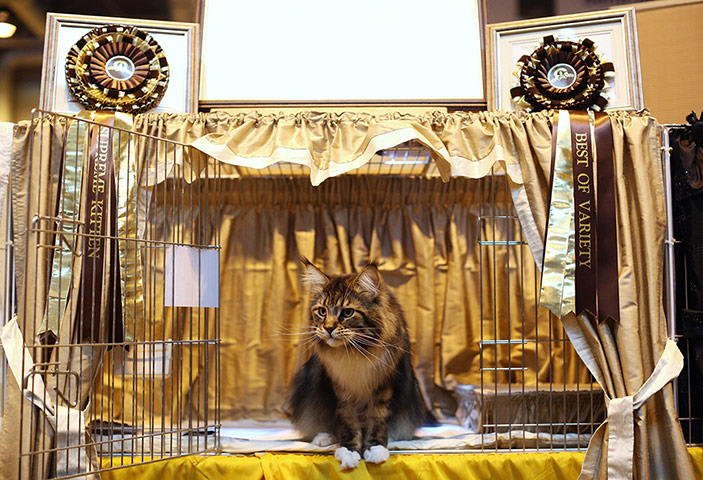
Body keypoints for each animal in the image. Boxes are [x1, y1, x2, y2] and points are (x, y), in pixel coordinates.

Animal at [286, 256, 434, 470]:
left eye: (347, 312)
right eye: (322, 311)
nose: (328, 328)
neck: (354, 353)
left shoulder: (384, 387)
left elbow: (378, 420)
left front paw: (376, 449)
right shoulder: (343, 391)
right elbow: (349, 423)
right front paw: (349, 452)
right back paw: (324, 437)